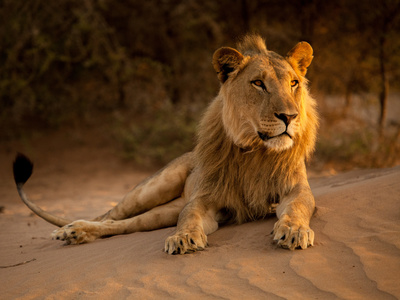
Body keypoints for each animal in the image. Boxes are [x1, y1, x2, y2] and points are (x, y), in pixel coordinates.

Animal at [13, 35, 318, 255]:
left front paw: (293, 231)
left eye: (294, 83)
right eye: (258, 84)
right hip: (153, 188)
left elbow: (298, 208)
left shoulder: (296, 189)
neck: (256, 150)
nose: (289, 117)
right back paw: (68, 230)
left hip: (163, 212)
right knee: (110, 214)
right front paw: (183, 238)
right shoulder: (203, 200)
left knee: (121, 224)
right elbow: (190, 217)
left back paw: (76, 233)